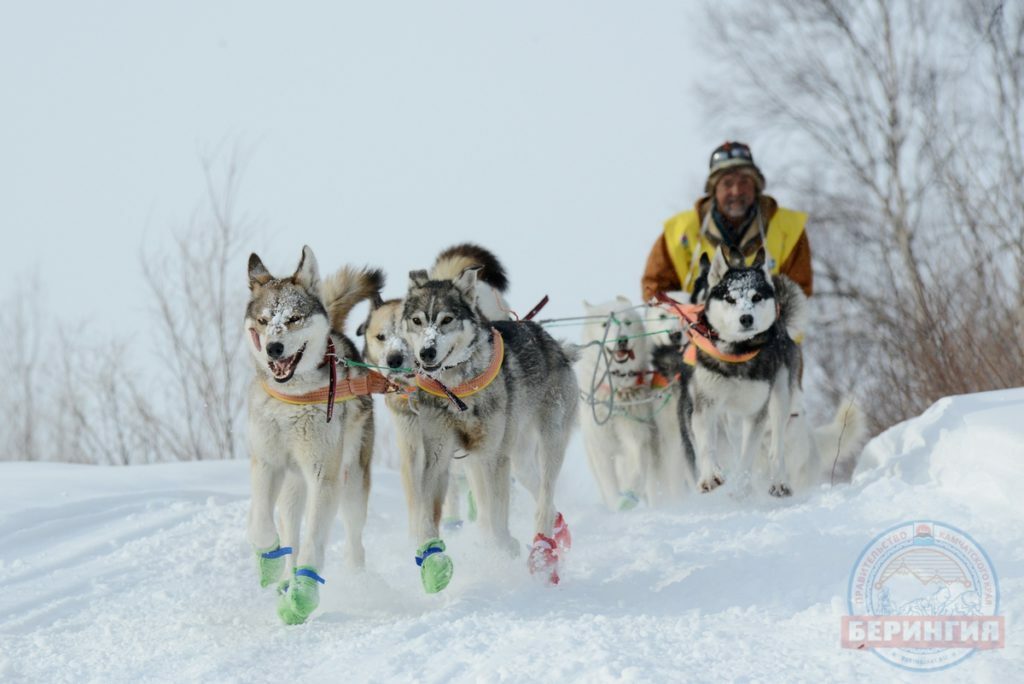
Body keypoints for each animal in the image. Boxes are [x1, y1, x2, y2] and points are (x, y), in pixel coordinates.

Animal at [399, 266, 577, 593]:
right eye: (417, 321)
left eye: (447, 319)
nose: (427, 351)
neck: (457, 391)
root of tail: (552, 343)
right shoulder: (438, 457)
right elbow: (427, 517)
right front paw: (433, 561)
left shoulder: (494, 456)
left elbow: (496, 515)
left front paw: (504, 547)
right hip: (513, 460)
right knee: (537, 493)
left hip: (548, 442)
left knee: (544, 498)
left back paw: (542, 551)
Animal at [581, 296, 659, 509]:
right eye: (604, 324)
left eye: (627, 322)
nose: (622, 340)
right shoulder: (601, 447)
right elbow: (609, 485)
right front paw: (617, 504)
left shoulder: (636, 436)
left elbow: (637, 470)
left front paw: (628, 499)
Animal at [684, 246, 802, 497]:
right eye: (730, 298)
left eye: (756, 297)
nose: (746, 318)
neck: (736, 354)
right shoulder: (705, 404)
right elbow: (707, 445)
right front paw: (710, 476)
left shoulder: (755, 411)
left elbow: (748, 456)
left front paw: (740, 488)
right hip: (727, 414)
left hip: (780, 396)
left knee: (776, 445)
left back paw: (779, 481)